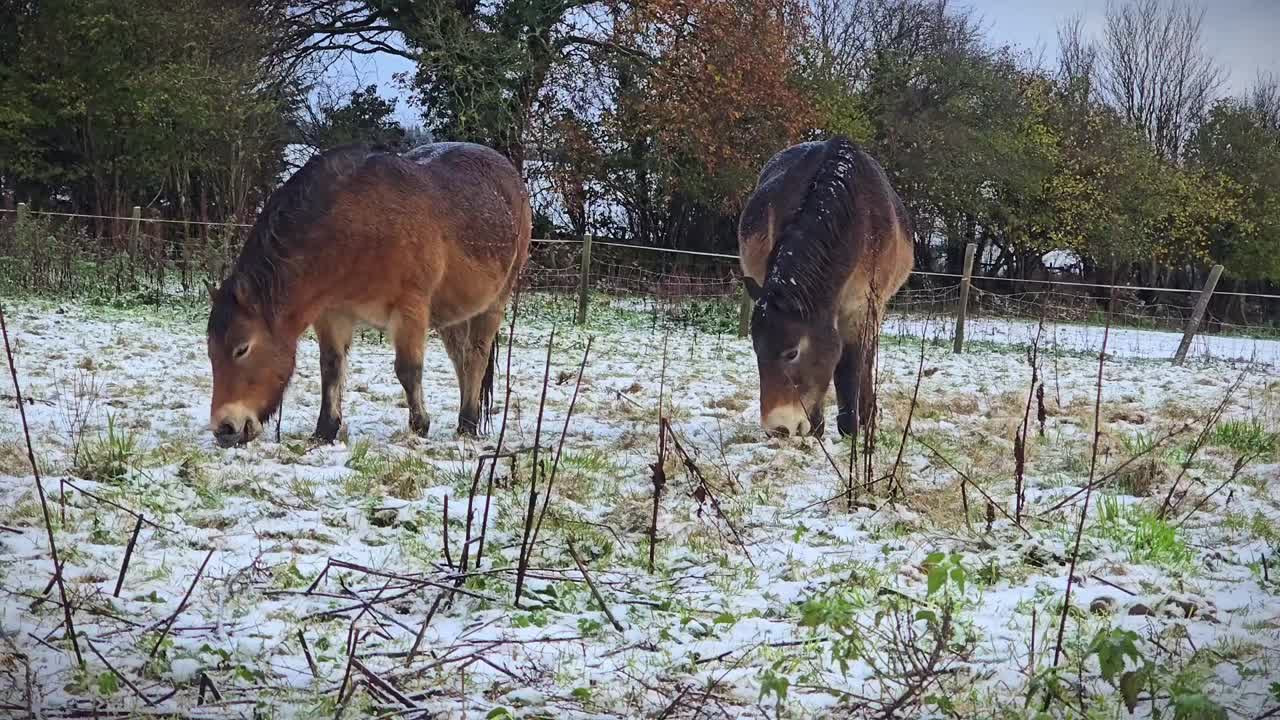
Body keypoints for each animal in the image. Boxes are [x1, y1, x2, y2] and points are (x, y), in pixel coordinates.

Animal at [205, 142, 531, 448]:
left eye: (242, 349)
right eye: (211, 352)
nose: (225, 429)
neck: (359, 224)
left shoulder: (410, 309)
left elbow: (408, 370)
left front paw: (420, 426)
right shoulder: (332, 313)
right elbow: (331, 368)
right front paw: (324, 431)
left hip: (494, 303)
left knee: (475, 357)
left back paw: (468, 423)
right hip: (453, 315)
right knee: (460, 359)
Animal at [738, 137, 914, 439]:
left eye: (792, 352)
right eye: (757, 350)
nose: (778, 429)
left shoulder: (860, 311)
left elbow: (850, 367)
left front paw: (851, 429)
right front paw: (816, 430)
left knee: (866, 359)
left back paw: (867, 417)